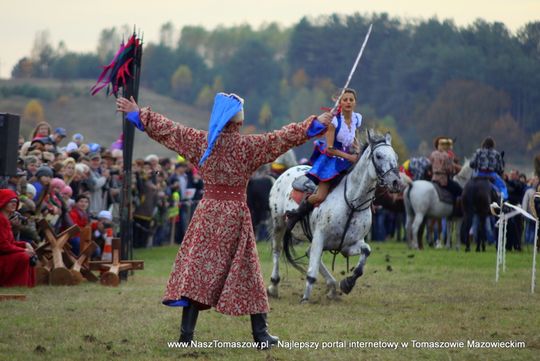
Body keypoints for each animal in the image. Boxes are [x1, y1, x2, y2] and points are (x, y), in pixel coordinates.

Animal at [268, 129, 400, 300]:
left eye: (395, 156)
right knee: (277, 251)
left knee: (309, 252)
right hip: (279, 224)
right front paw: (305, 298)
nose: (396, 182)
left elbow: (366, 252)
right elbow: (311, 271)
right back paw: (273, 286)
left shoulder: (347, 244)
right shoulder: (320, 236)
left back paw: (332, 286)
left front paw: (347, 283)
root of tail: (286, 172)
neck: (353, 203)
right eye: (378, 156)